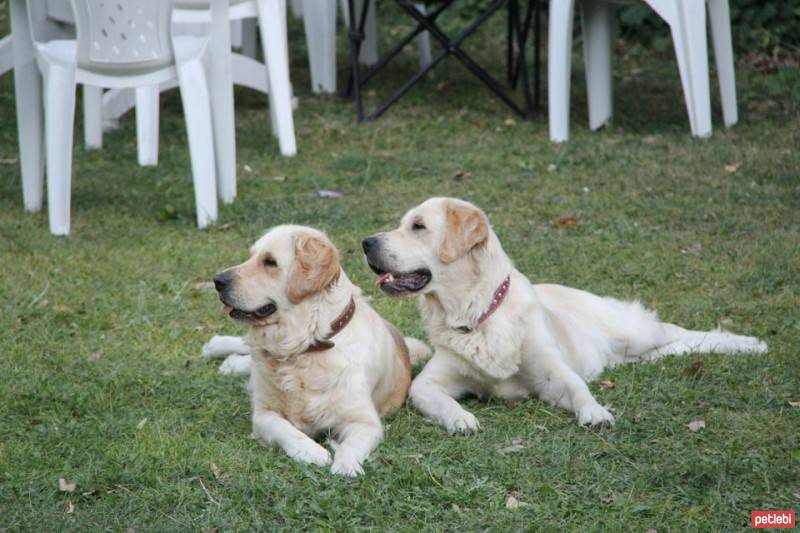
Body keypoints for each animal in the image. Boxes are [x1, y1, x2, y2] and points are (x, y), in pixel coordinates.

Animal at [203, 223, 432, 474]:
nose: (217, 280)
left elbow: (352, 444)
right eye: (251, 256)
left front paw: (345, 466)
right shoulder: (263, 413)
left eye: (270, 262)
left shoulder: (366, 421)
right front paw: (311, 451)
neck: (307, 346)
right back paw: (218, 350)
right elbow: (285, 429)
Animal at [362, 197, 768, 430]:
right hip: (635, 354)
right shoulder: (429, 382)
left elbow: (576, 386)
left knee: (676, 331)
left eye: (418, 227)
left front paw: (595, 413)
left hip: (632, 331)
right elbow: (437, 398)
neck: (478, 315)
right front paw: (460, 418)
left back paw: (748, 343)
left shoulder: (551, 372)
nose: (366, 242)